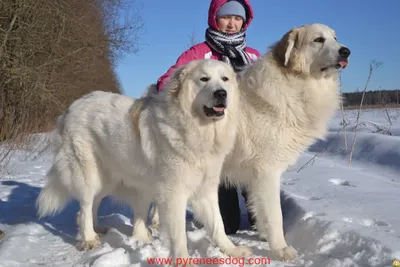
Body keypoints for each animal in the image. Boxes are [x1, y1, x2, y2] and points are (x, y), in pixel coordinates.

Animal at [36, 59, 252, 264]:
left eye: (225, 79)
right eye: (204, 79)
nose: (221, 94)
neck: (199, 130)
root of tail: (72, 107)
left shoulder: (205, 190)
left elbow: (218, 225)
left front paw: (232, 250)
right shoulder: (174, 193)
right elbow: (179, 235)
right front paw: (183, 261)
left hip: (107, 178)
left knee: (93, 203)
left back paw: (98, 229)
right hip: (88, 174)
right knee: (85, 206)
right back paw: (89, 238)